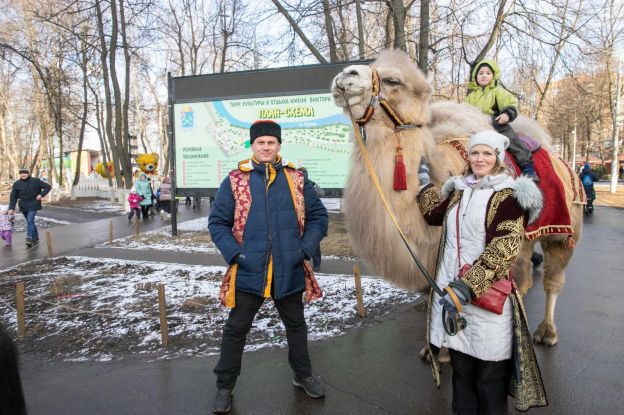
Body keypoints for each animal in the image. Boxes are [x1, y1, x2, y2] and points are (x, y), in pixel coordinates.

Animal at [334, 49, 584, 348]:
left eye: (393, 80)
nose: (344, 75)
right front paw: (430, 350)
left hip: (565, 227)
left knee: (552, 279)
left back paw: (546, 333)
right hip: (523, 236)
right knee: (523, 272)